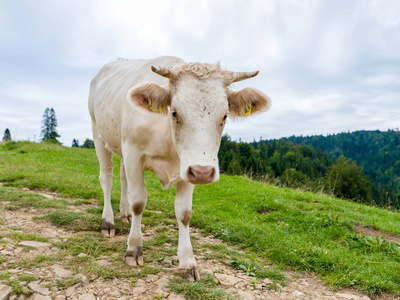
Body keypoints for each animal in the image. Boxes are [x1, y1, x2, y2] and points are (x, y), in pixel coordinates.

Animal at [89, 56, 270, 282]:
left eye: (225, 116)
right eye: (174, 112)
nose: (204, 173)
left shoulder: (188, 167)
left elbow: (184, 213)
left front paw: (187, 262)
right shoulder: (134, 154)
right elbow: (138, 202)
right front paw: (134, 248)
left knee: (123, 179)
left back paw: (125, 213)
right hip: (98, 134)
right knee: (106, 178)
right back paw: (108, 222)